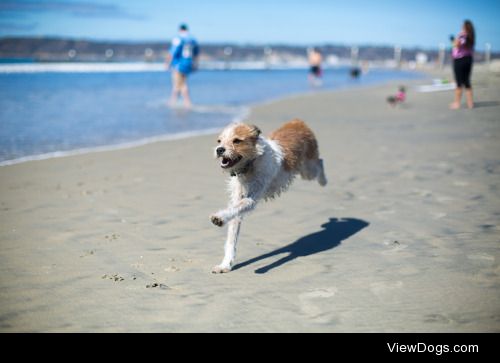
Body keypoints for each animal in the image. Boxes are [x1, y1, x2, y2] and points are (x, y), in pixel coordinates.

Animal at [209, 118, 326, 272]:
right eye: (219, 141)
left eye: (237, 141)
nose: (219, 149)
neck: (250, 164)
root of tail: (297, 122)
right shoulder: (238, 199)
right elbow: (232, 232)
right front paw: (225, 265)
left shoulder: (251, 199)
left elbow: (238, 207)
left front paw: (219, 218)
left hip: (308, 169)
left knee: (320, 163)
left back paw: (324, 181)